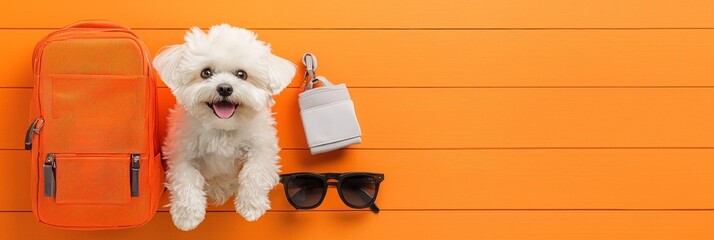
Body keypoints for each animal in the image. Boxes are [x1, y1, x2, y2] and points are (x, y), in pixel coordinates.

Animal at [152, 24, 294, 231]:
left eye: (242, 74)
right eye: (206, 72)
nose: (225, 88)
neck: (222, 129)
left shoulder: (263, 148)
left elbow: (254, 173)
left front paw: (251, 207)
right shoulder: (181, 153)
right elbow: (186, 179)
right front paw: (187, 217)